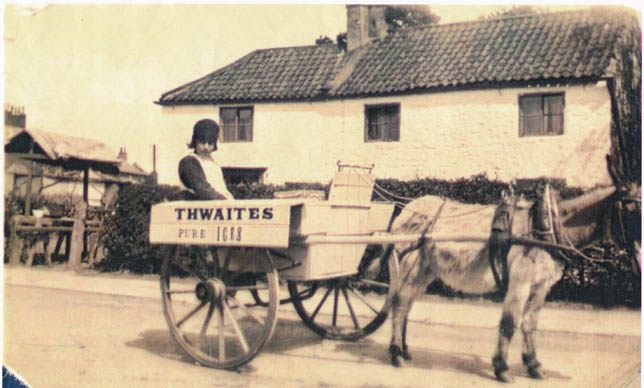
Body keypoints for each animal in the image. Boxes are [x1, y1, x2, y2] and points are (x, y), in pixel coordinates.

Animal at [384, 180, 640, 384]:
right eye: (631, 209)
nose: (639, 262)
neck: (545, 229)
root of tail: (408, 209)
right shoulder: (521, 283)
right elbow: (509, 323)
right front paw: (502, 369)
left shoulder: (541, 286)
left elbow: (529, 324)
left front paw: (533, 366)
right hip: (411, 267)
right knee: (399, 303)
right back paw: (396, 353)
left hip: (425, 271)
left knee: (406, 305)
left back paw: (404, 350)